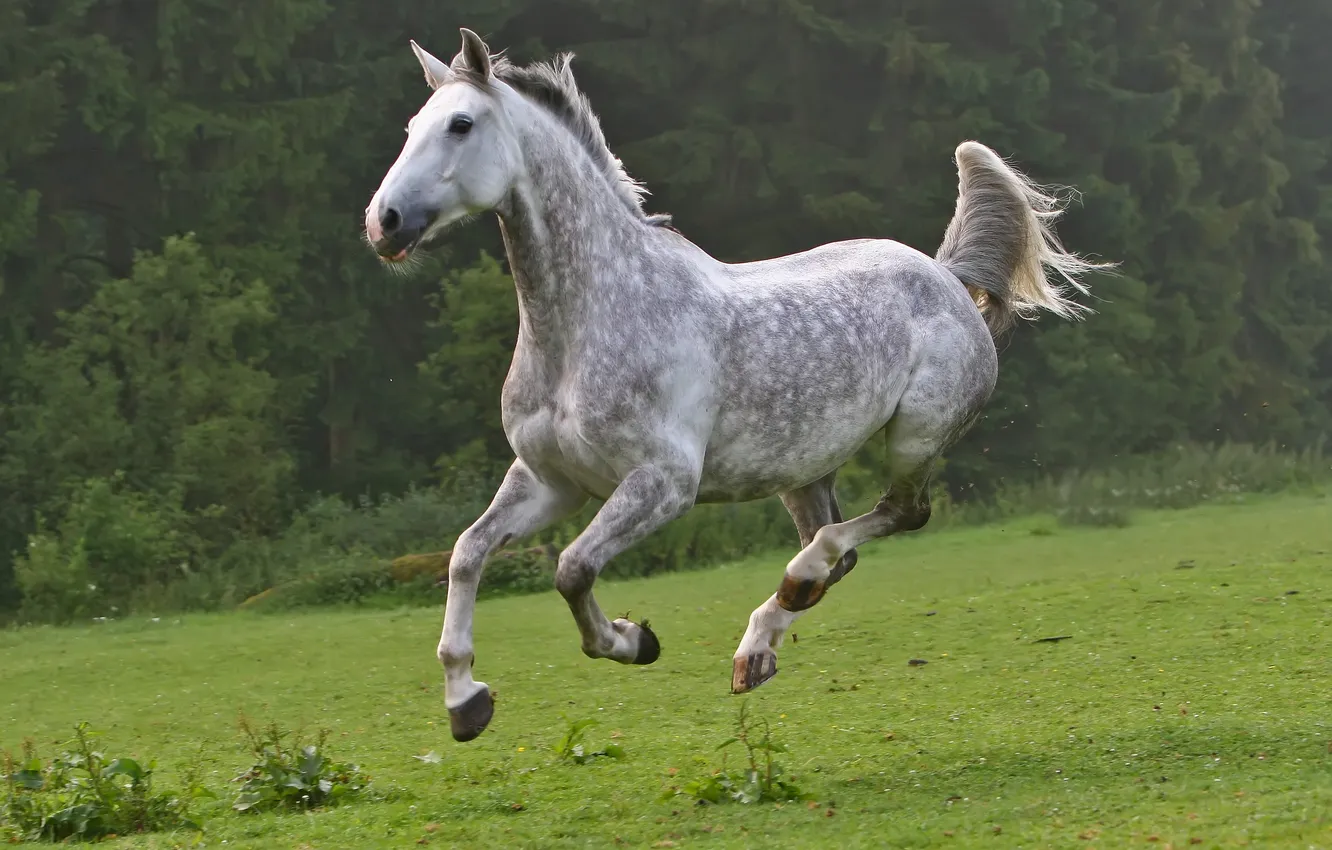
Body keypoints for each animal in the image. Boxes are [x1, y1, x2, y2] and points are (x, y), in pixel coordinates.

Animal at [364, 28, 1110, 742]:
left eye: (461, 124)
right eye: (411, 126)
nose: (384, 221)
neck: (588, 323)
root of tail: (947, 277)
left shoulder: (662, 484)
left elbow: (571, 569)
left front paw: (633, 641)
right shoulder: (552, 480)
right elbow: (466, 554)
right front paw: (465, 700)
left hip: (916, 440)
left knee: (894, 517)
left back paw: (788, 594)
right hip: (803, 470)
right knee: (841, 550)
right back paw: (761, 647)